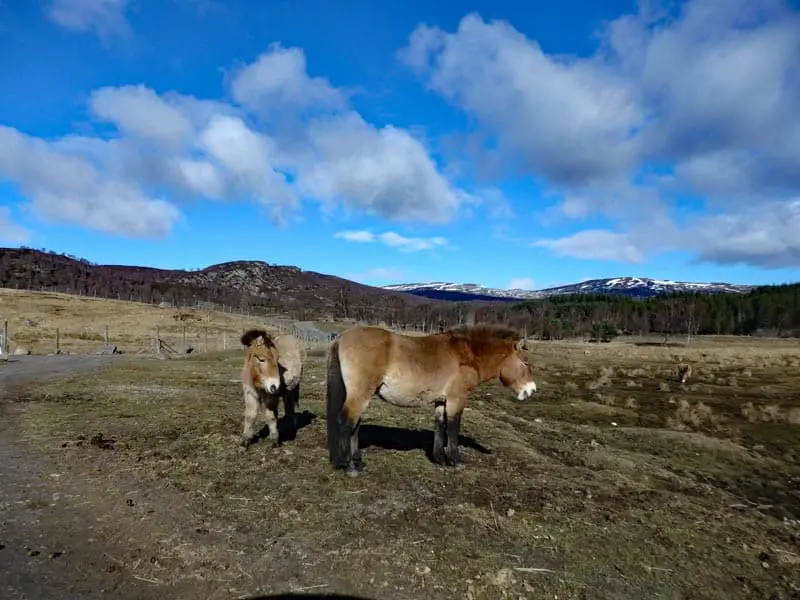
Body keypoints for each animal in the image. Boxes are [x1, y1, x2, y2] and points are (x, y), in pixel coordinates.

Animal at [324, 324, 536, 478]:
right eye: (525, 363)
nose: (531, 390)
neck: (467, 354)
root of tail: (341, 338)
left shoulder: (441, 400)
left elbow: (439, 426)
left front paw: (439, 459)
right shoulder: (457, 399)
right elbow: (453, 427)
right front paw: (455, 460)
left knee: (355, 425)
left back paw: (358, 461)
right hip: (360, 394)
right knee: (346, 423)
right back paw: (350, 466)